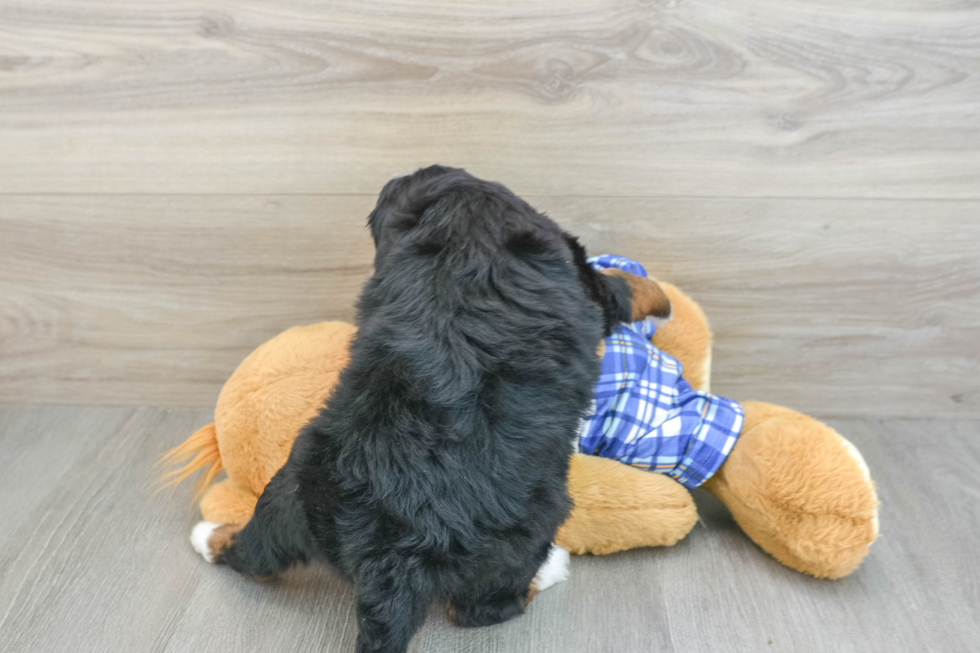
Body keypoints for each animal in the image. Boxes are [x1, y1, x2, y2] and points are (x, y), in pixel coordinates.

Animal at [195, 167, 644, 652]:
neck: (467, 220)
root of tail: (392, 554)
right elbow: (611, 291)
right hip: (529, 530)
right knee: (483, 608)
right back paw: (548, 572)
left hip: (286, 501)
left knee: (252, 554)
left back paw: (210, 536)